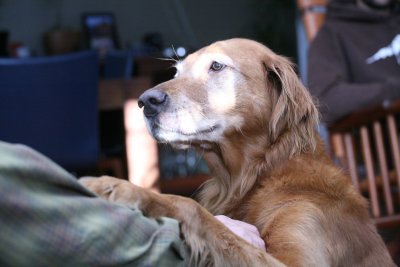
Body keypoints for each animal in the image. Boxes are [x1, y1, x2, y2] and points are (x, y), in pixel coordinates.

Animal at [80, 38, 394, 266]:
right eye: (177, 72)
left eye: (217, 66)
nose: (145, 101)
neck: (258, 175)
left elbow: (193, 209)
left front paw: (118, 187)